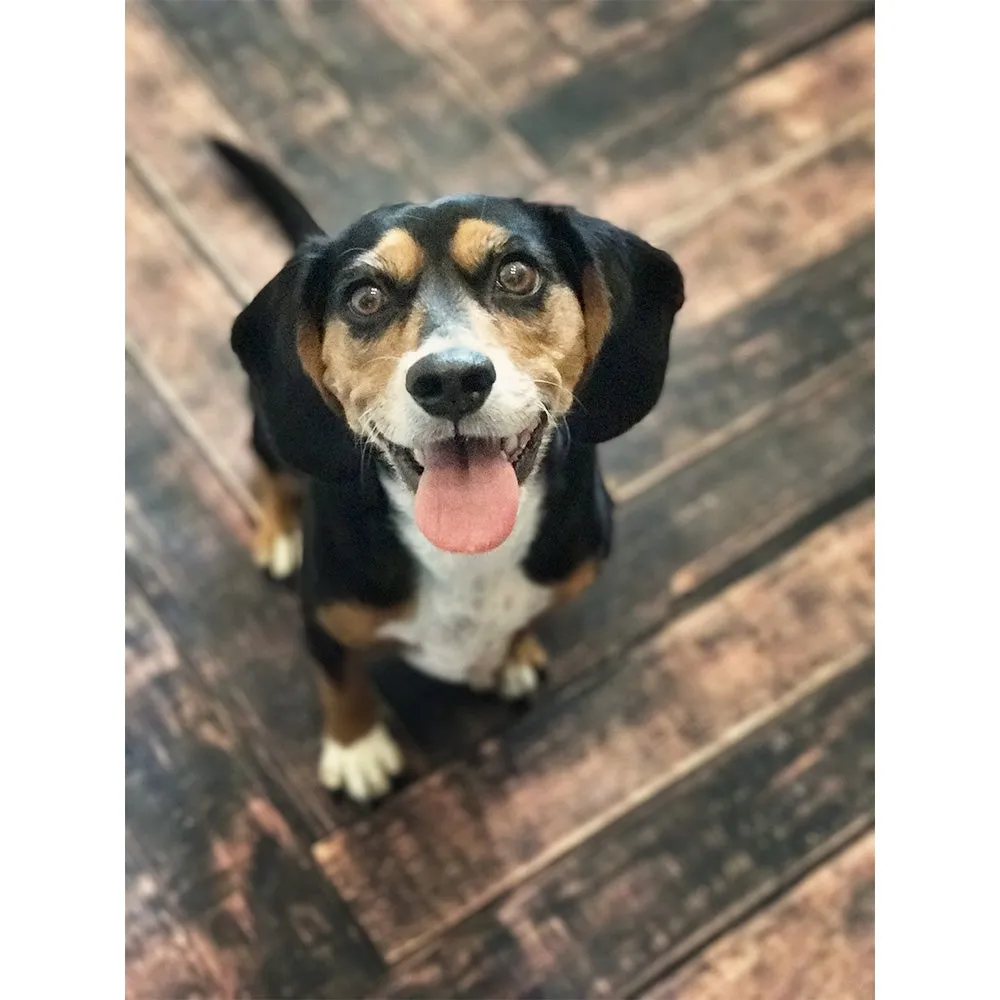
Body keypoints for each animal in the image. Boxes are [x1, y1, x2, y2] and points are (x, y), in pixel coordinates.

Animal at [208, 137, 684, 800]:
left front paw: (511, 654)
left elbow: (519, 622)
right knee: (268, 468)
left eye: (517, 274)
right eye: (365, 297)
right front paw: (356, 749)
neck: (467, 557)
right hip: (270, 432)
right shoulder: (324, 615)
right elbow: (341, 680)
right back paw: (279, 531)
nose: (451, 379)